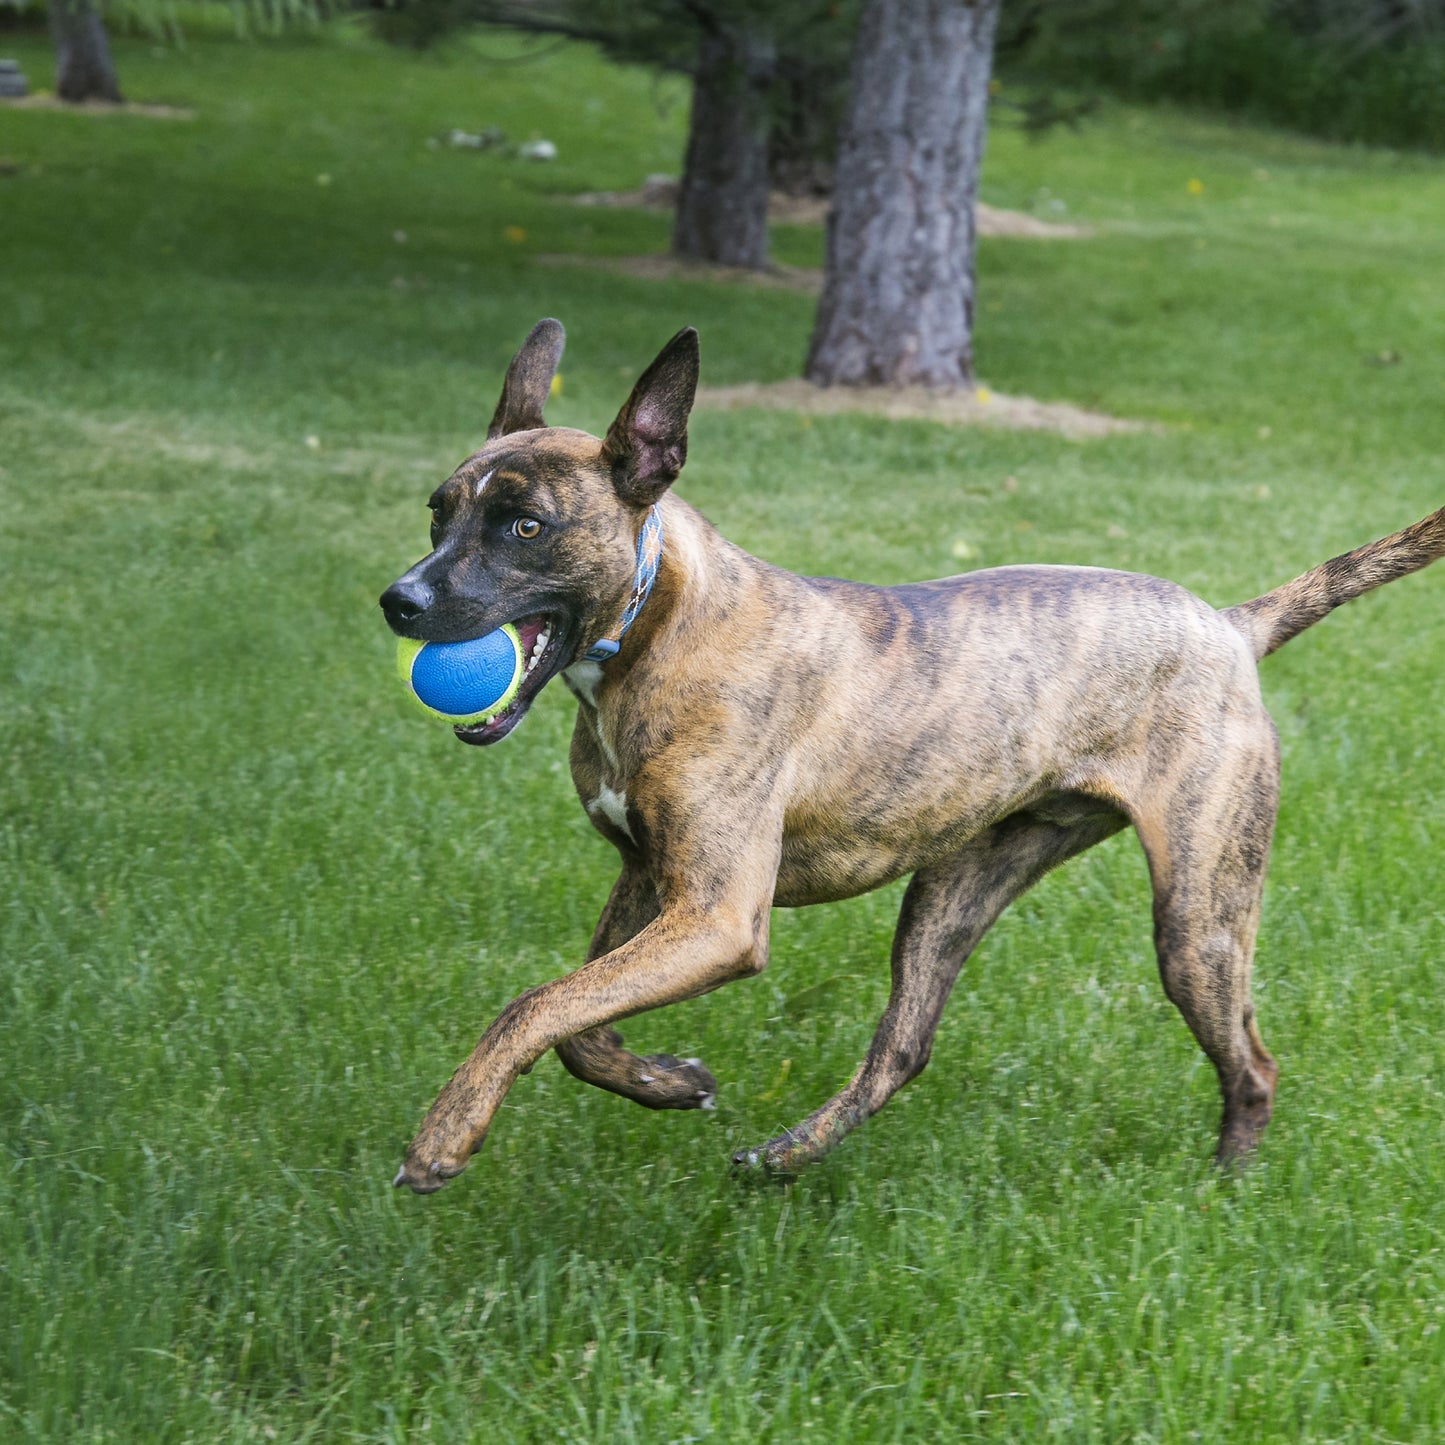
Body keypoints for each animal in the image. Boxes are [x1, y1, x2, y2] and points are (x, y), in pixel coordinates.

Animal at [381, 322, 1445, 1190]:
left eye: (526, 526)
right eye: (438, 512)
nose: (399, 601)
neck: (661, 620)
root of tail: (1229, 624)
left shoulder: (714, 918)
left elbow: (533, 1005)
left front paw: (443, 1136)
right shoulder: (650, 880)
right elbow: (579, 1025)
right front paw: (666, 1081)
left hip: (1199, 918)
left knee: (1251, 1063)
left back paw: (1224, 1187)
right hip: (955, 889)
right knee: (903, 1047)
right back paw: (790, 1153)